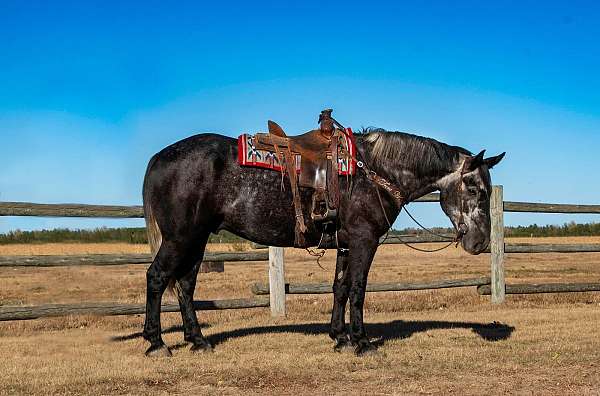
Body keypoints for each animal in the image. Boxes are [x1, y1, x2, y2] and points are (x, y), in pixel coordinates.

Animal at [143, 124, 504, 356]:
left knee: (185, 285)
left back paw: (198, 340)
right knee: (158, 278)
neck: (373, 172)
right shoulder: (364, 240)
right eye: (475, 189)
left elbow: (340, 287)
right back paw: (156, 343)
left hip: (197, 239)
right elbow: (357, 288)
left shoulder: (346, 242)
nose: (480, 242)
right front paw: (361, 342)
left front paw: (340, 337)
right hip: (181, 237)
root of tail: (159, 157)